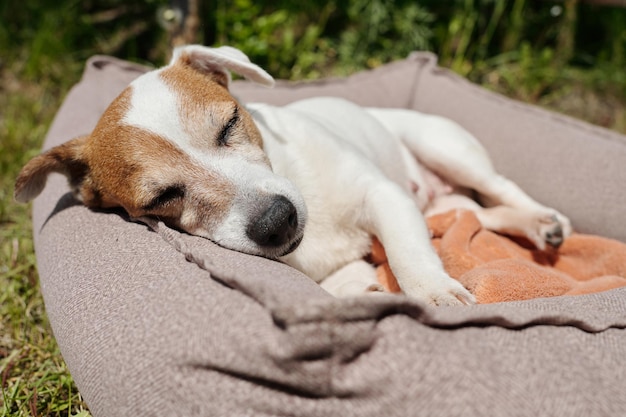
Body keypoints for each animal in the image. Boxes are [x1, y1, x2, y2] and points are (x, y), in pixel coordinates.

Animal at [14, 45, 572, 306]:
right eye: (164, 197)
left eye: (230, 123)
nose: (276, 221)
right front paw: (362, 285)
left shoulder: (384, 195)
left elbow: (408, 253)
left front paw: (434, 293)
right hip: (448, 205)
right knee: (482, 215)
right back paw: (531, 227)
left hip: (447, 148)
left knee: (502, 189)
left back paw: (545, 219)